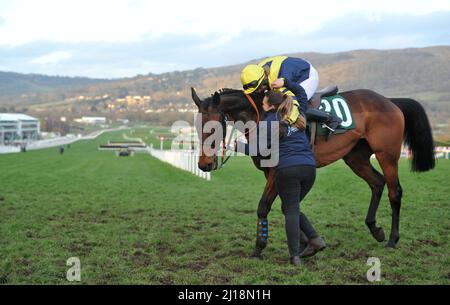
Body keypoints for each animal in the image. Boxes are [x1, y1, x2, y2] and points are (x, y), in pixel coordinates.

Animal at [192, 88, 434, 256]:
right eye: (196, 126)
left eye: (215, 127)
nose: (204, 165)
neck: (260, 114)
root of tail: (390, 101)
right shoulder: (271, 172)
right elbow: (288, 206)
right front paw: (305, 244)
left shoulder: (277, 171)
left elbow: (265, 206)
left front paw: (260, 247)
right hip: (355, 157)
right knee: (377, 183)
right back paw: (375, 229)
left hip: (387, 155)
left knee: (395, 192)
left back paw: (392, 240)